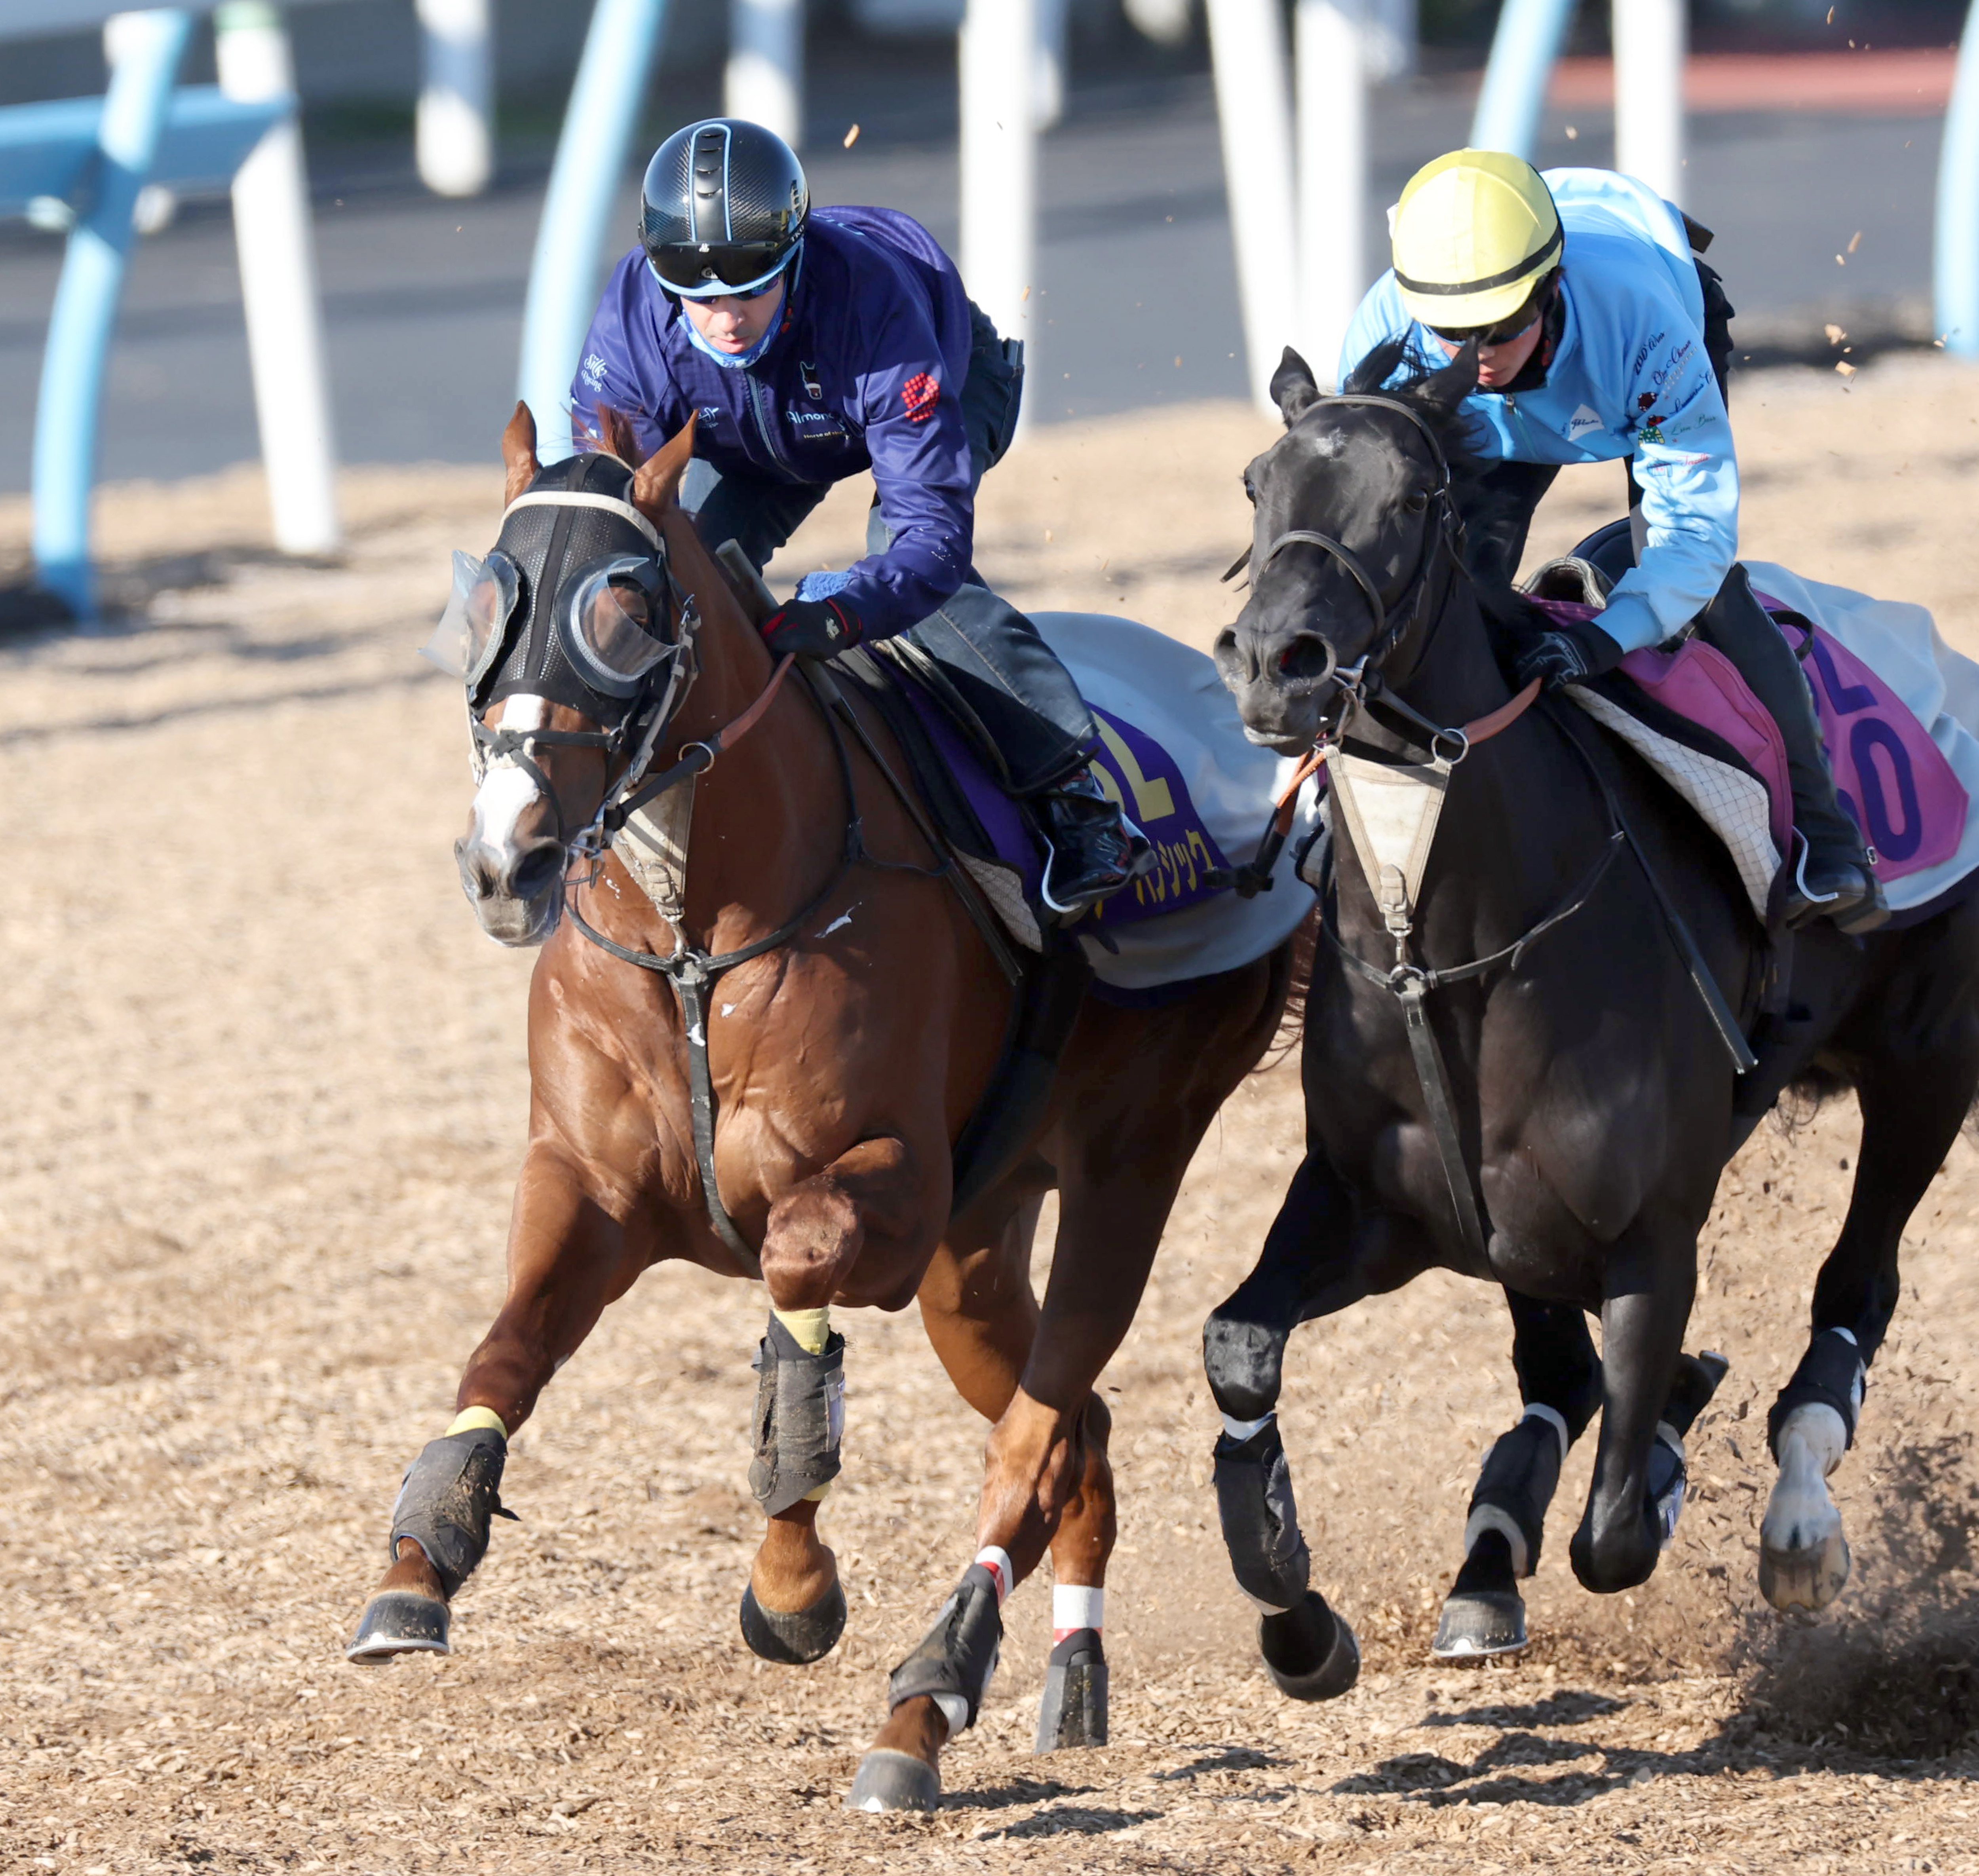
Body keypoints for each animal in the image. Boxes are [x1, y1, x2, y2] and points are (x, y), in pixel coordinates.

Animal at [342, 404, 1297, 1811]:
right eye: (487, 608)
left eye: (624, 612)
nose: (504, 858)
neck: (694, 938)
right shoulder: (588, 1184)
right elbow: (505, 1346)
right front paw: (421, 1559)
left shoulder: (885, 1189)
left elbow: (794, 1295)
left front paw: (792, 1588)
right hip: (977, 1251)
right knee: (1079, 1426)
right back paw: (1068, 1672)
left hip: (1129, 1159)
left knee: (1041, 1427)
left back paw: (939, 1705)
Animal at [1199, 339, 1979, 1687]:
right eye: (1256, 481)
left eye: (1414, 498)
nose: (1270, 660)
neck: (1442, 947)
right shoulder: (1374, 1207)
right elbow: (1238, 1346)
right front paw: (1299, 1612)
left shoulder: (1649, 1238)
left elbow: (1614, 1522)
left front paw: (1663, 1444)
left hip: (1927, 1065)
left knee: (1856, 1285)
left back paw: (1798, 1522)